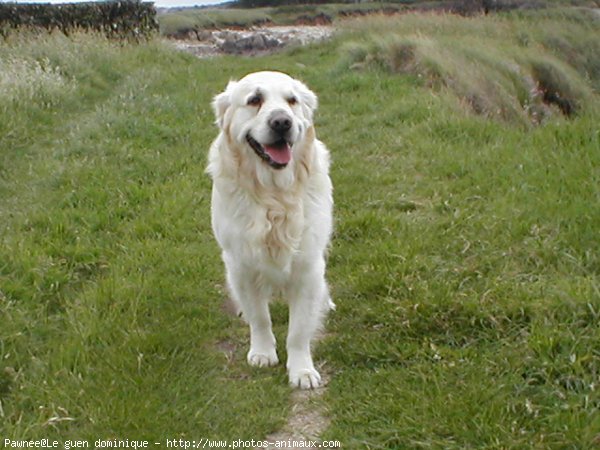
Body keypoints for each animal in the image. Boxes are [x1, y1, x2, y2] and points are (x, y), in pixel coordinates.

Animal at [207, 72, 336, 388]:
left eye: (292, 100)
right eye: (254, 99)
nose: (282, 122)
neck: (274, 195)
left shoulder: (308, 266)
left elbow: (299, 330)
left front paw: (302, 370)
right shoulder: (241, 264)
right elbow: (260, 317)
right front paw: (263, 352)